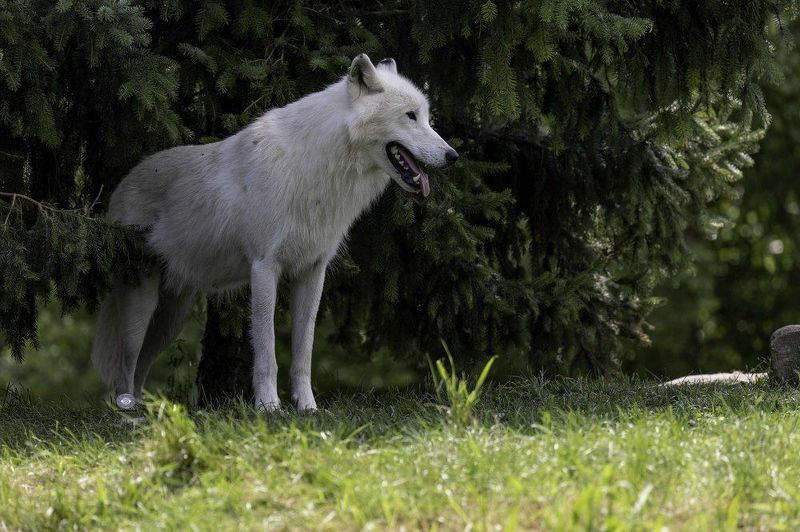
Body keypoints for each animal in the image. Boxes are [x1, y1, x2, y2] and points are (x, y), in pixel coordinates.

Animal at [91, 54, 460, 410]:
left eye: (428, 118)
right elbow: (266, 350)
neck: (321, 168)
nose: (453, 155)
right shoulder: (264, 267)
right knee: (125, 366)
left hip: (171, 318)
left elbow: (303, 352)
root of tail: (118, 190)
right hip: (141, 309)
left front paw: (307, 408)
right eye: (410, 116)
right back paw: (128, 415)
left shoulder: (313, 272)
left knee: (140, 368)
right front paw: (269, 407)